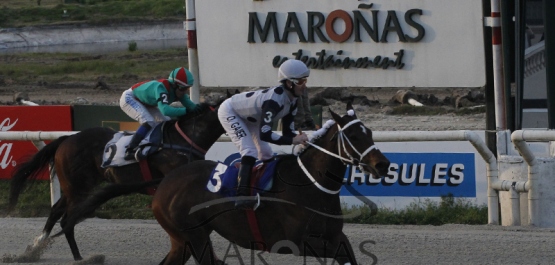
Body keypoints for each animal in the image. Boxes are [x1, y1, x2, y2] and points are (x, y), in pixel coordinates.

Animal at [7, 95, 228, 260]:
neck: (183, 140)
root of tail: (67, 139)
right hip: (78, 187)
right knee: (66, 220)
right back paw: (78, 258)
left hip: (76, 186)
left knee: (55, 212)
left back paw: (35, 247)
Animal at [65, 101, 390, 264]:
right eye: (354, 135)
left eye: (370, 132)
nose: (383, 165)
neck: (309, 184)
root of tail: (167, 180)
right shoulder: (298, 242)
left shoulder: (336, 238)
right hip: (193, 236)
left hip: (181, 240)